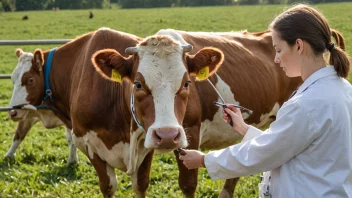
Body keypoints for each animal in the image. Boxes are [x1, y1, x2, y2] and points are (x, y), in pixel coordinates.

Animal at [7, 28, 223, 198]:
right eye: (137, 84)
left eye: (186, 83)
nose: (168, 135)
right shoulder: (88, 144)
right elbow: (108, 186)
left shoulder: (146, 146)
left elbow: (140, 185)